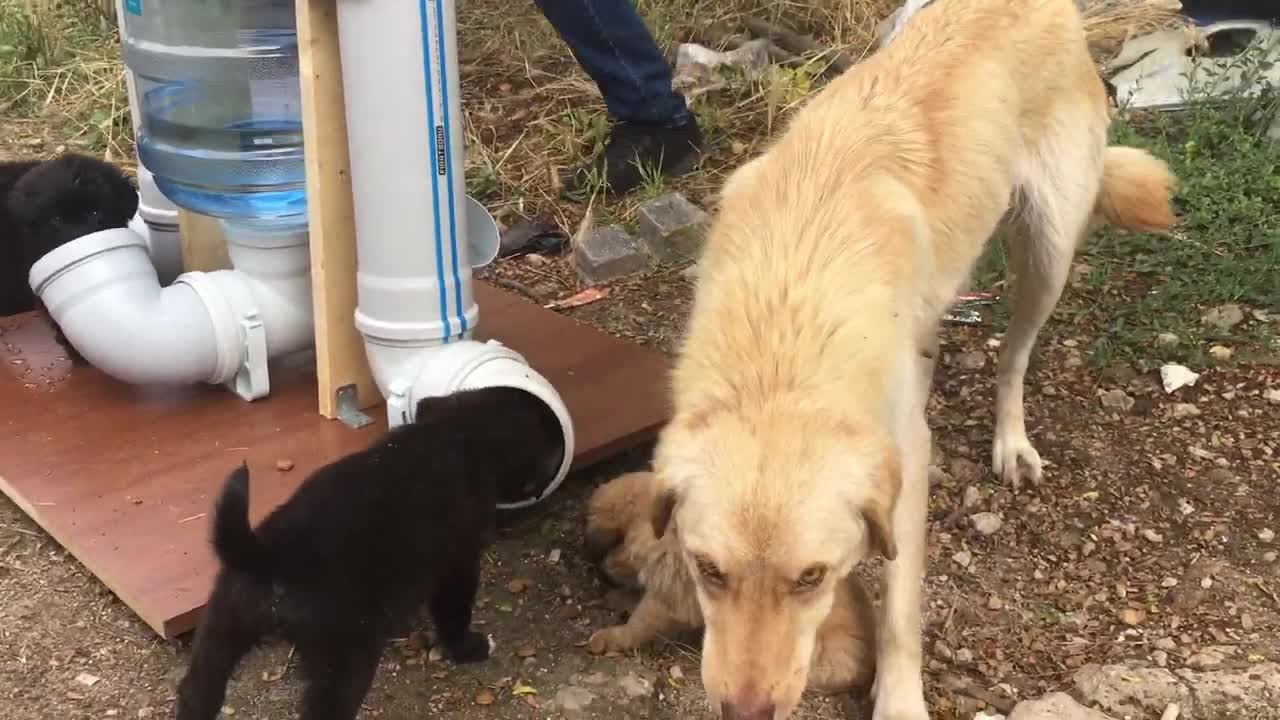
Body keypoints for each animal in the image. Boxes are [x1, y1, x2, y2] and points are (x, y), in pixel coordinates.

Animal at [176, 386, 565, 717]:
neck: (457, 433)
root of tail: (272, 554)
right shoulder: (459, 564)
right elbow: (454, 613)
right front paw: (467, 649)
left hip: (221, 629)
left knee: (196, 692)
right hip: (348, 659)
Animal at [583, 468, 875, 691]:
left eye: (616, 540)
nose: (602, 568)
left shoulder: (671, 596)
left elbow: (640, 622)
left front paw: (608, 637)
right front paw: (616, 599)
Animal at [645, 1, 1172, 717]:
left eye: (812, 578)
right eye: (708, 570)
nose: (746, 713)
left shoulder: (905, 466)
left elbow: (899, 607)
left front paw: (898, 700)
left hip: (1048, 254)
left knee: (1014, 356)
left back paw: (1011, 441)